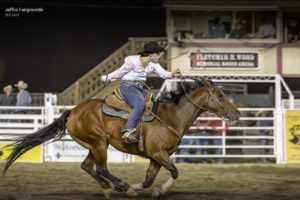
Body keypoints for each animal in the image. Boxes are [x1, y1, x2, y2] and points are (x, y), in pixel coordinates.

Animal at [1, 77, 239, 198]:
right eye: (219, 95)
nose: (236, 113)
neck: (169, 117)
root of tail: (74, 111)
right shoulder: (158, 154)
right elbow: (175, 171)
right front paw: (158, 190)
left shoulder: (156, 157)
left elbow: (149, 179)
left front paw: (142, 187)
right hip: (99, 144)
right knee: (101, 167)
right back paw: (120, 186)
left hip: (93, 145)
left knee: (88, 166)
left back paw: (109, 188)